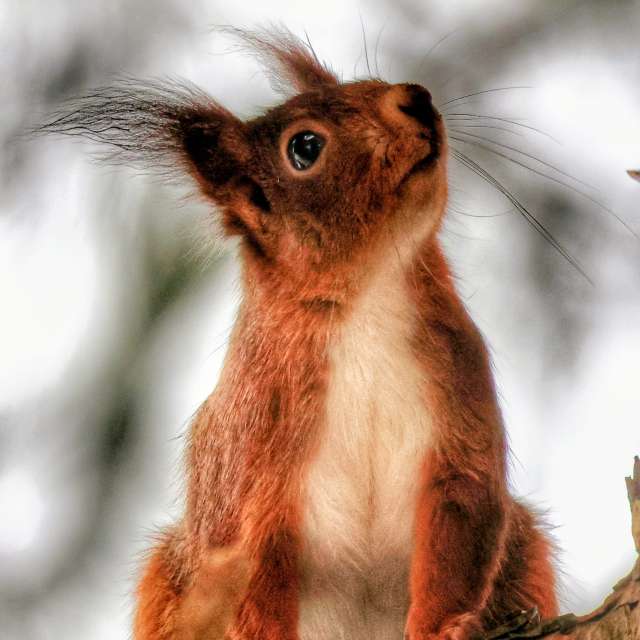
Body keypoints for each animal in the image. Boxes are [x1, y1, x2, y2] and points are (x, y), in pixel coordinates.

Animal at [40, 27, 558, 640]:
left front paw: (447, 627)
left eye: (362, 80)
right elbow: (254, 578)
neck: (368, 297)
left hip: (526, 549)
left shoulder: (459, 389)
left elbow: (464, 517)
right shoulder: (253, 455)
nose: (415, 97)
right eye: (304, 148)